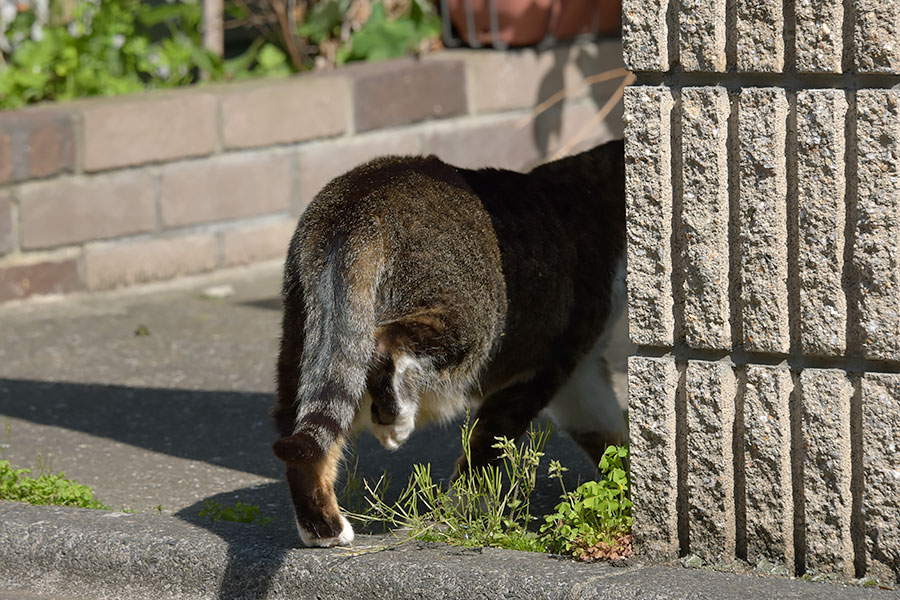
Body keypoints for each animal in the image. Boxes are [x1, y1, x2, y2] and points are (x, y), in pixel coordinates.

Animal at [270, 138, 628, 548]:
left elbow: (606, 431)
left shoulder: (581, 374)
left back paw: (322, 529)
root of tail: (360, 200)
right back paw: (395, 423)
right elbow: (489, 442)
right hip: (471, 317)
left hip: (303, 336)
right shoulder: (551, 362)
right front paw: (463, 504)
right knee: (388, 347)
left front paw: (628, 480)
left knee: (303, 434)